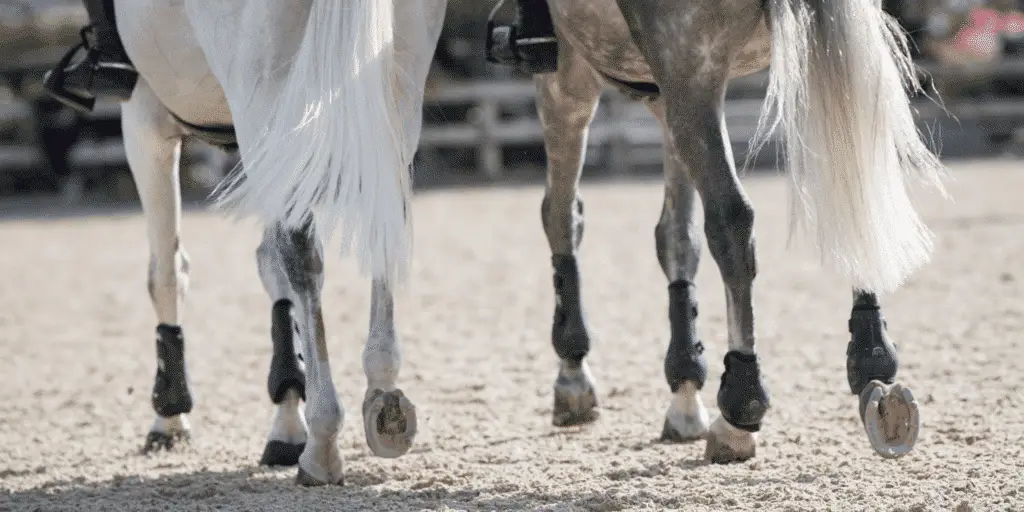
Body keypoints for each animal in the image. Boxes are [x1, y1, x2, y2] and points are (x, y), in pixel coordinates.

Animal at [114, 1, 446, 487]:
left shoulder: (145, 118)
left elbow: (167, 273)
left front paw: (170, 417)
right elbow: (271, 271)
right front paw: (287, 420)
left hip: (262, 95)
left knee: (300, 256)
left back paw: (323, 442)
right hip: (393, 93)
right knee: (381, 224)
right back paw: (384, 400)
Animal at [536, 0, 942, 462]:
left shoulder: (568, 75)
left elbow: (562, 216)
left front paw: (573, 374)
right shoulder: (662, 92)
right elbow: (676, 237)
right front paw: (684, 390)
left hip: (688, 69)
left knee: (730, 220)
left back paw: (739, 409)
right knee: (851, 182)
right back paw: (875, 371)